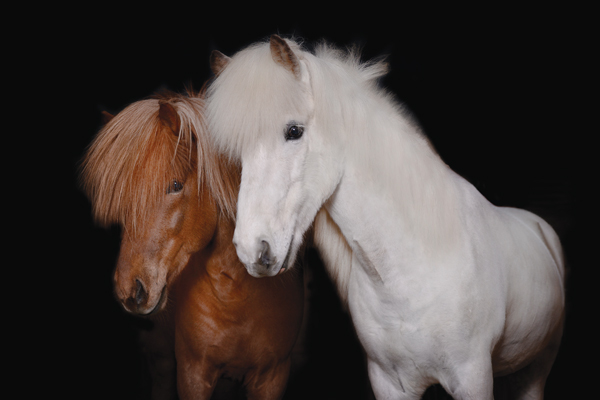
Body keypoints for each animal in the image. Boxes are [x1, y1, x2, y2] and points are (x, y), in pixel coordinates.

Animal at [205, 36, 564, 398]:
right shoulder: (389, 382)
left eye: (294, 131)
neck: (409, 274)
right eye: (239, 151)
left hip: (538, 369)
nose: (252, 249)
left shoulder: (472, 378)